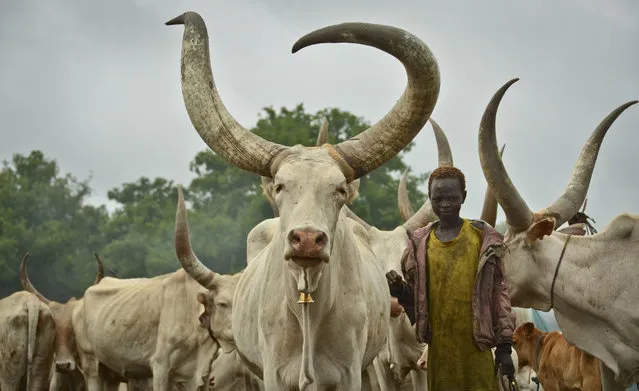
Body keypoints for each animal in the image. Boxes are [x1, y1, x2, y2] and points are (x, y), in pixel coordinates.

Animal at [168, 10, 442, 390]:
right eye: (281, 186)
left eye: (340, 189)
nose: (308, 240)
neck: (308, 307)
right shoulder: (273, 374)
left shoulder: (352, 373)